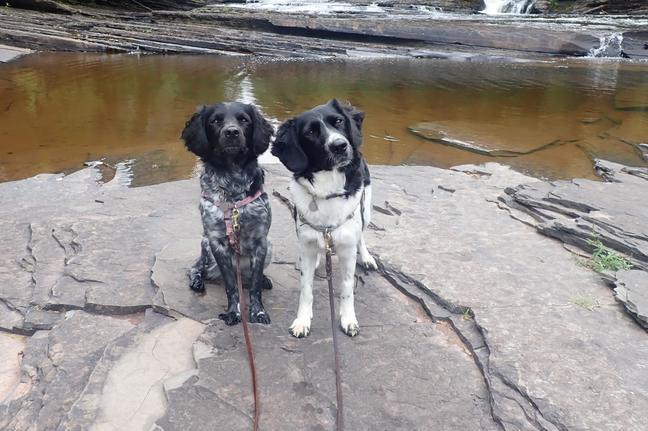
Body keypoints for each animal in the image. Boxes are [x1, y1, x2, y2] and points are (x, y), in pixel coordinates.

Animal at [181, 102, 274, 325]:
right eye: (215, 120)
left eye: (244, 120)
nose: (232, 132)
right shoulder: (217, 242)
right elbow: (232, 286)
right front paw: (234, 313)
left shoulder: (261, 241)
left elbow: (255, 286)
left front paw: (258, 312)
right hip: (205, 245)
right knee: (196, 267)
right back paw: (196, 280)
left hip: (270, 246)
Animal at [272, 99, 377, 338]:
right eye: (310, 132)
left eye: (338, 121)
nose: (340, 145)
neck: (328, 188)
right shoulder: (307, 241)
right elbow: (306, 288)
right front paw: (302, 320)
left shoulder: (347, 247)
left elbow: (347, 287)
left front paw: (348, 319)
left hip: (366, 208)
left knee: (362, 235)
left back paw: (367, 257)